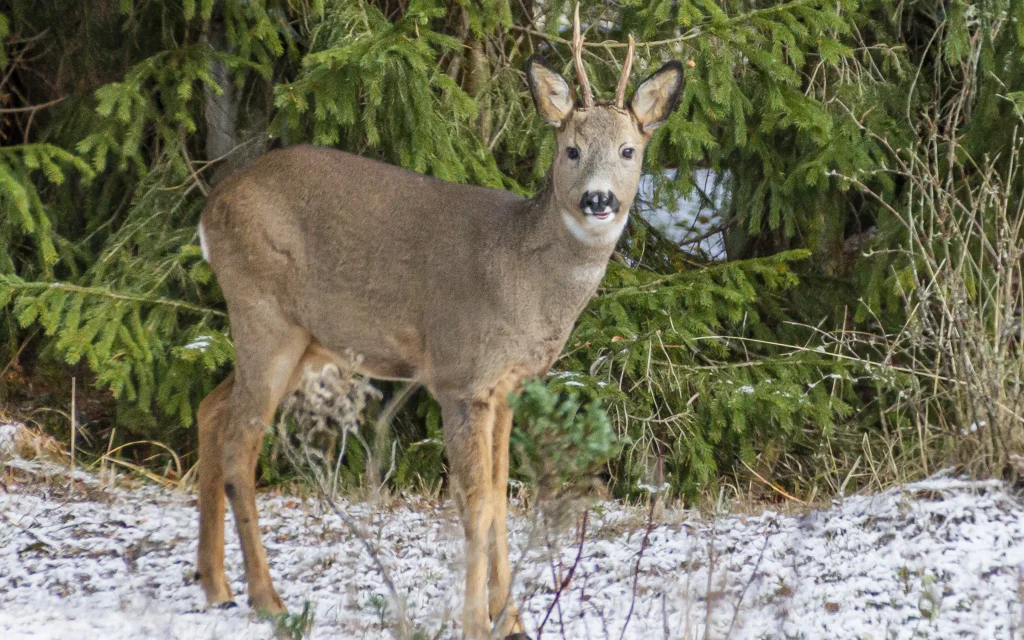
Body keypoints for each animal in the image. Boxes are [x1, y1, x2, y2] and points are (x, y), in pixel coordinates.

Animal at [195, 8, 684, 634]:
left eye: (628, 150)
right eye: (572, 150)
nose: (599, 200)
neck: (520, 276)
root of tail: (209, 210)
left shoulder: (507, 387)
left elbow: (501, 497)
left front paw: (512, 620)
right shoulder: (461, 375)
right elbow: (474, 504)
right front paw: (477, 622)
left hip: (305, 340)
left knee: (211, 411)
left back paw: (216, 586)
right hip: (264, 312)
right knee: (240, 442)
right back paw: (267, 599)